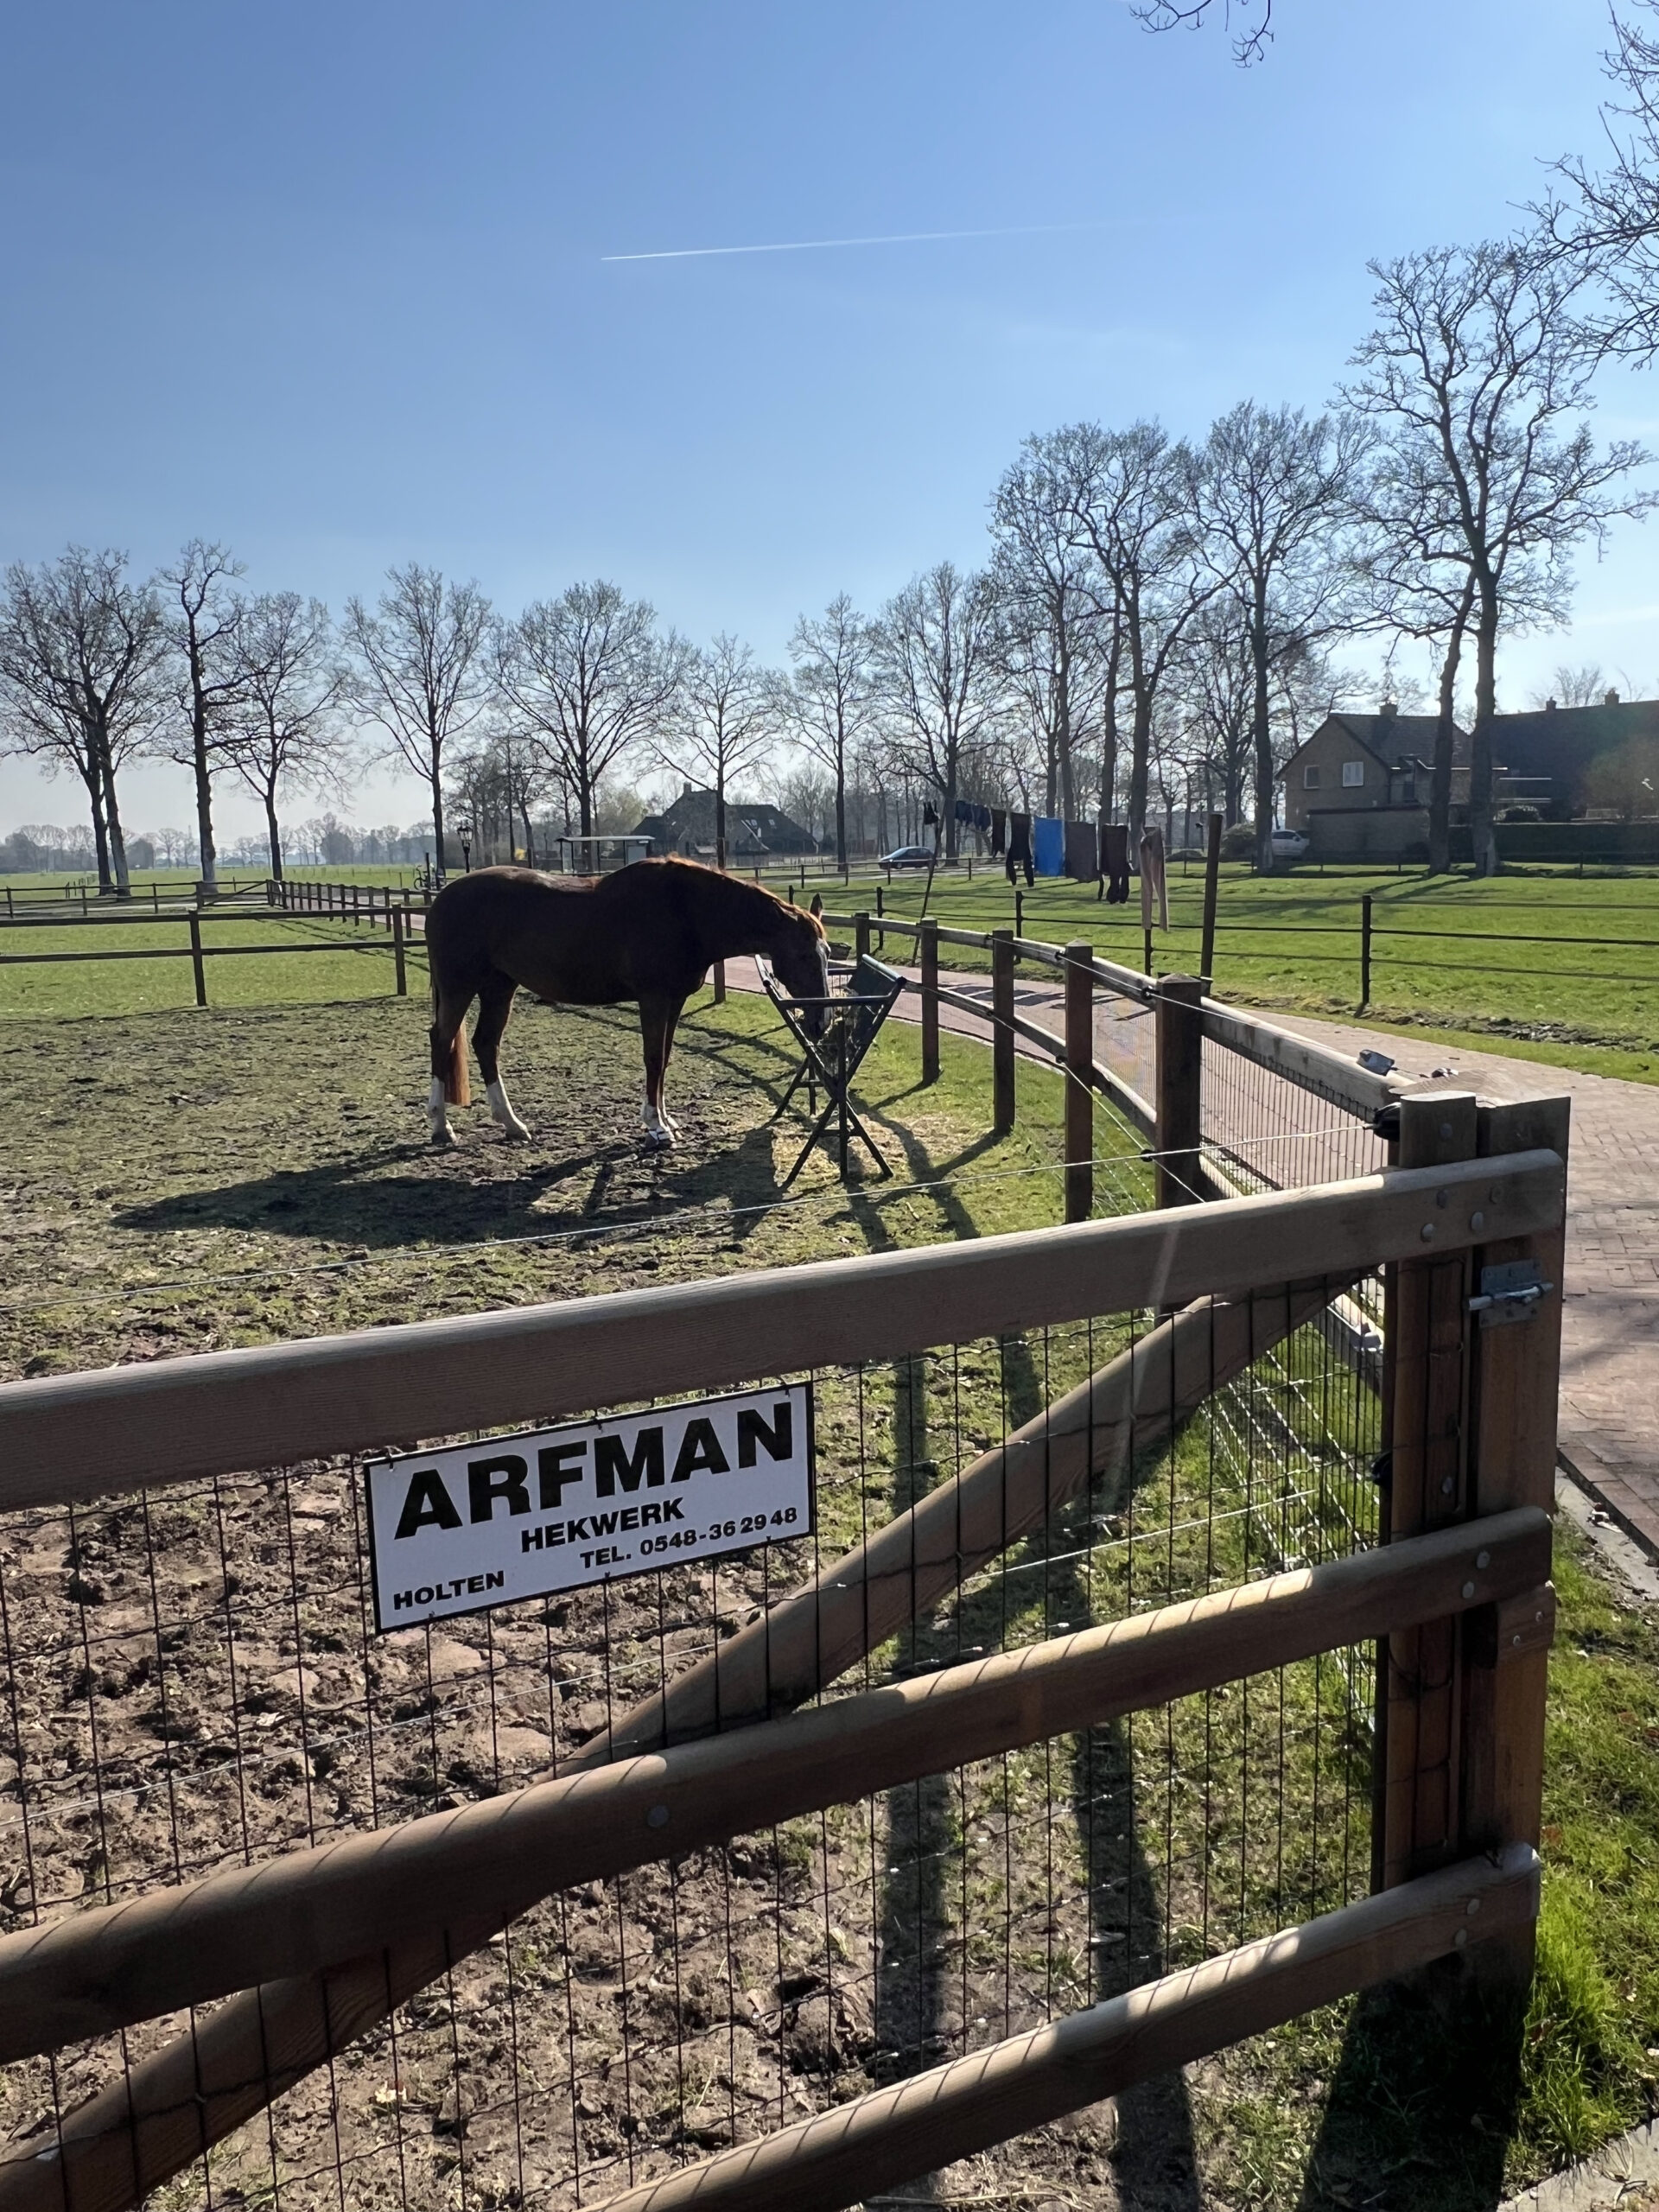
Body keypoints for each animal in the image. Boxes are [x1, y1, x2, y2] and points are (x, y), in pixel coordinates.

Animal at [422, 858, 831, 1148]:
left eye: (828, 954)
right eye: (804, 956)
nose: (821, 1022)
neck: (684, 912)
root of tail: (442, 898)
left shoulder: (674, 1001)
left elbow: (664, 1059)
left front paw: (665, 1120)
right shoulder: (653, 999)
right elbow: (652, 1059)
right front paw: (655, 1127)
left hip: (499, 987)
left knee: (485, 1044)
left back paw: (512, 1124)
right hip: (460, 988)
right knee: (441, 1040)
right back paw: (442, 1125)